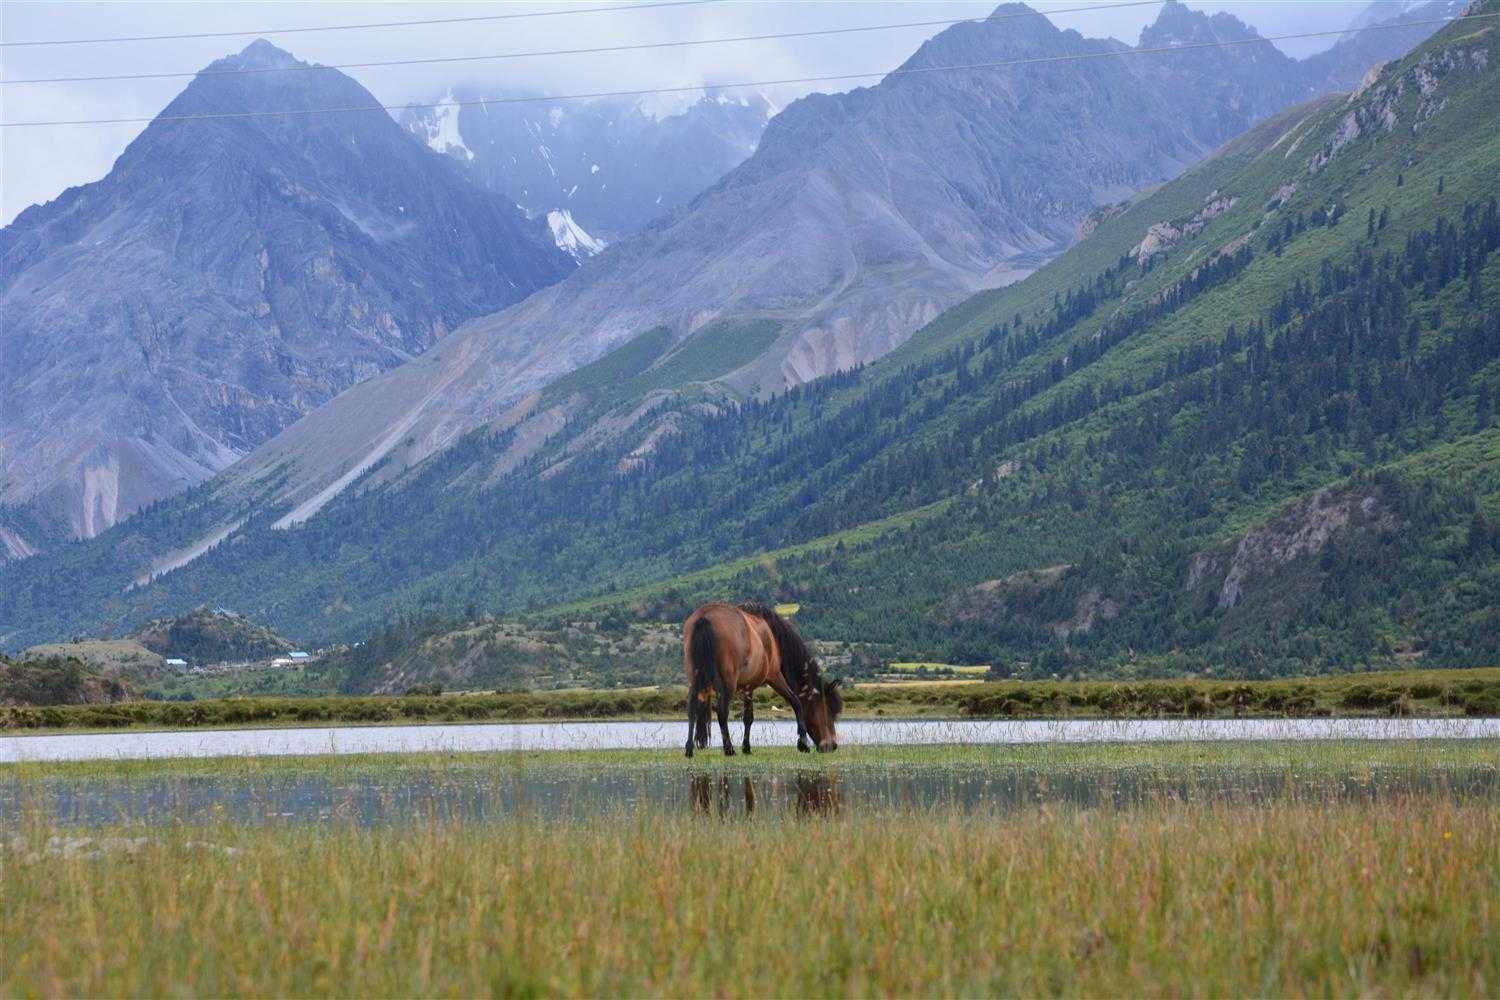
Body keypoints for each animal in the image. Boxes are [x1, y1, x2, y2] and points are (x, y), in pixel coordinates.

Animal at [684, 602, 846, 758]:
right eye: (828, 710)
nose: (832, 745)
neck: (771, 635)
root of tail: (704, 618)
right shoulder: (775, 677)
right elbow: (796, 702)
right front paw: (803, 743)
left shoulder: (748, 687)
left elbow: (748, 717)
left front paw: (746, 747)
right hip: (728, 684)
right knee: (722, 711)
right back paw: (729, 749)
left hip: (696, 679)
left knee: (692, 708)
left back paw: (689, 749)